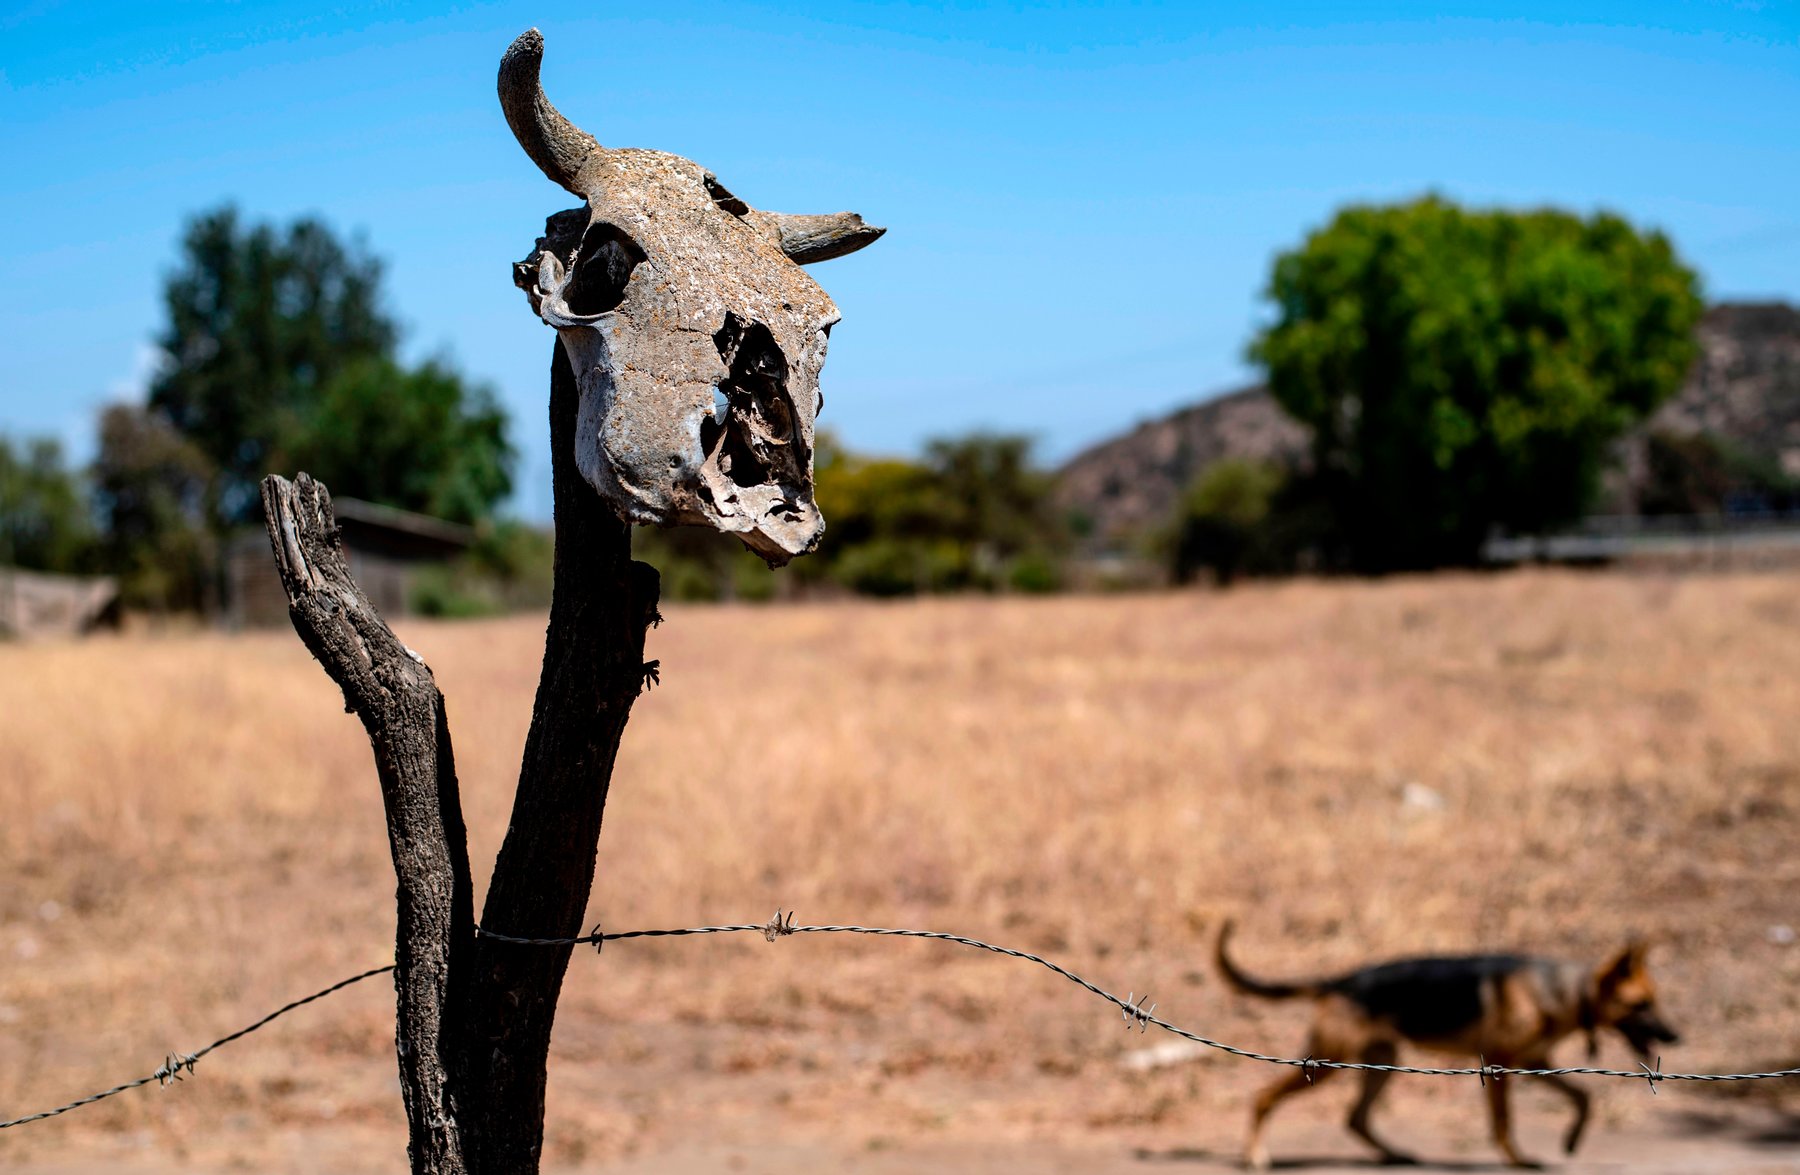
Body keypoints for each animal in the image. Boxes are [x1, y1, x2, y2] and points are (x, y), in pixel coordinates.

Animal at [1216, 921, 1677, 1166]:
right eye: (1641, 1004)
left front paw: (1572, 1139)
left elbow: (1583, 1097)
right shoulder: (1502, 1064)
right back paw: (1255, 1156)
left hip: (1380, 1063)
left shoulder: (1533, 1062)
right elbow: (1504, 1122)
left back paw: (1394, 1155)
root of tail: (1340, 982)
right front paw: (1518, 1161)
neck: (1563, 992)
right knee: (1263, 1097)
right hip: (1328, 1063)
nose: (1676, 1036)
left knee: (1355, 1118)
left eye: (1656, 1000)